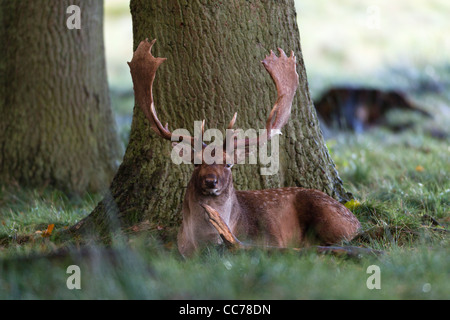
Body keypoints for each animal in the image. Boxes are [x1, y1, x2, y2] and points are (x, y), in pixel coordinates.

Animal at [128, 38, 360, 258]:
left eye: (228, 164)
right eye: (196, 163)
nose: (211, 181)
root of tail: (355, 218)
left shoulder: (269, 238)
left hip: (330, 217)